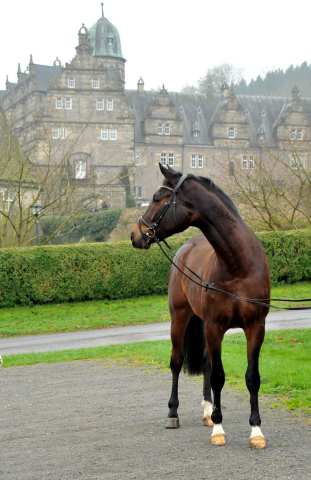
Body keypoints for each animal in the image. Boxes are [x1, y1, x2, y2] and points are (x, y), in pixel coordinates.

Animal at [130, 163, 272, 448]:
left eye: (156, 198)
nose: (135, 234)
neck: (239, 266)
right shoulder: (216, 327)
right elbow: (218, 376)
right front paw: (218, 429)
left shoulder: (256, 327)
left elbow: (252, 377)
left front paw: (256, 432)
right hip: (180, 317)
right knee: (176, 361)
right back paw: (173, 414)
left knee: (206, 363)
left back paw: (207, 411)